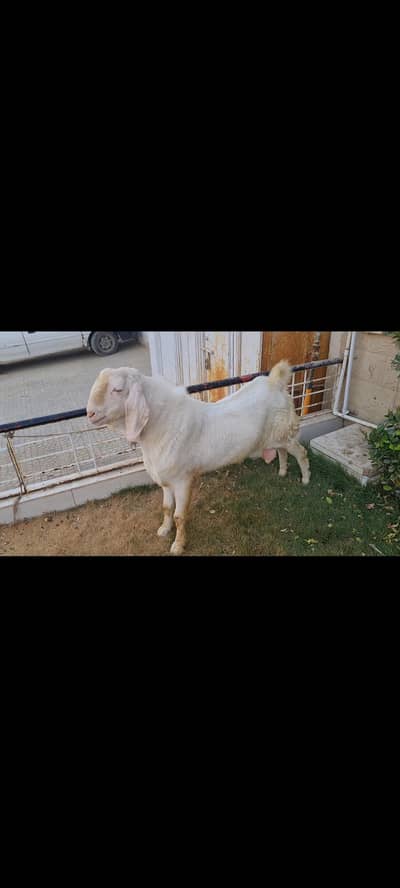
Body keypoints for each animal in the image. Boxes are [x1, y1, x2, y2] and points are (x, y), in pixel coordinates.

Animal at [86, 360, 310, 554]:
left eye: (117, 389)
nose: (90, 413)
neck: (161, 425)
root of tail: (275, 381)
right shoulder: (167, 480)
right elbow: (166, 508)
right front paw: (164, 530)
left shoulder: (183, 480)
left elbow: (179, 516)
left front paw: (178, 545)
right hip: (275, 437)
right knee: (281, 451)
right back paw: (282, 471)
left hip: (285, 432)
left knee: (301, 452)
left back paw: (306, 478)